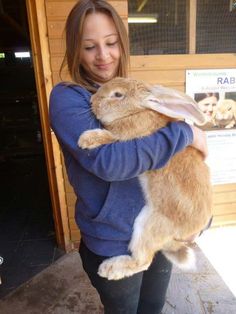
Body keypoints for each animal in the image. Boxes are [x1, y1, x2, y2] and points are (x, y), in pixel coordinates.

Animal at [78, 77, 212, 280]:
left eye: (118, 94)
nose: (93, 101)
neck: (139, 111)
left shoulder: (126, 135)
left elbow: (110, 136)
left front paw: (85, 139)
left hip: (147, 227)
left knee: (143, 261)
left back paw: (110, 268)